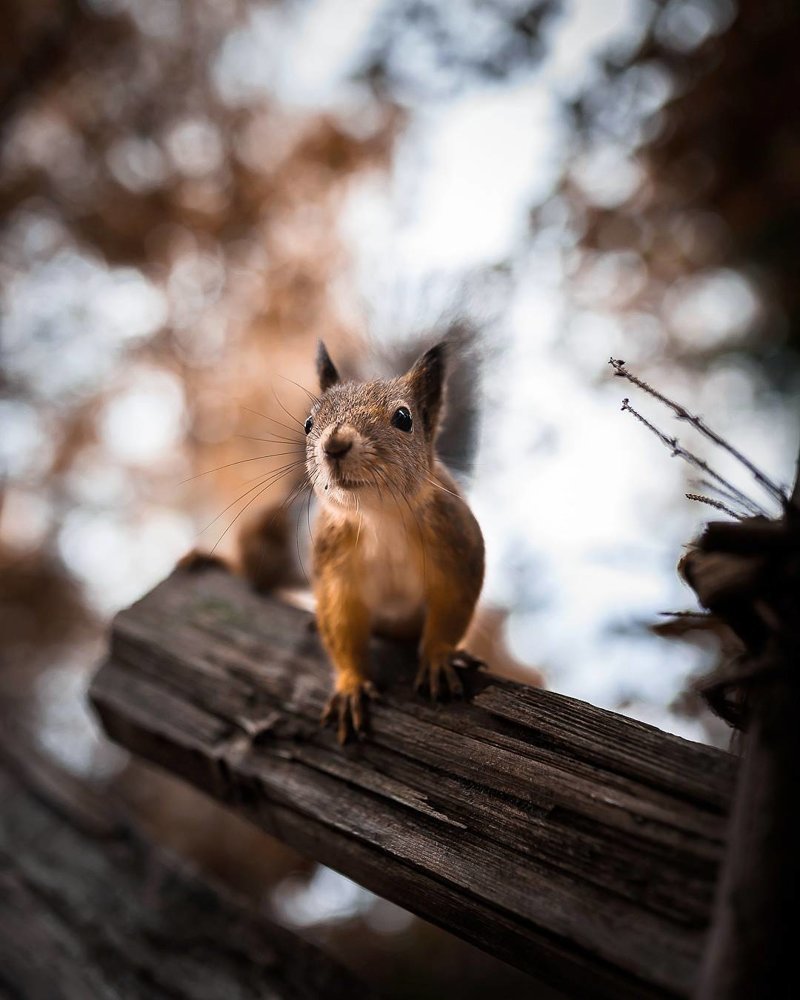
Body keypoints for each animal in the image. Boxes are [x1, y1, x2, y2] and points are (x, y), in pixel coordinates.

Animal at [304, 340, 484, 740]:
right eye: (308, 423)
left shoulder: (457, 544)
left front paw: (438, 657)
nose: (334, 445)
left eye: (404, 418)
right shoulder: (333, 566)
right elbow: (340, 621)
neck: (378, 517)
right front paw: (351, 685)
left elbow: (453, 604)